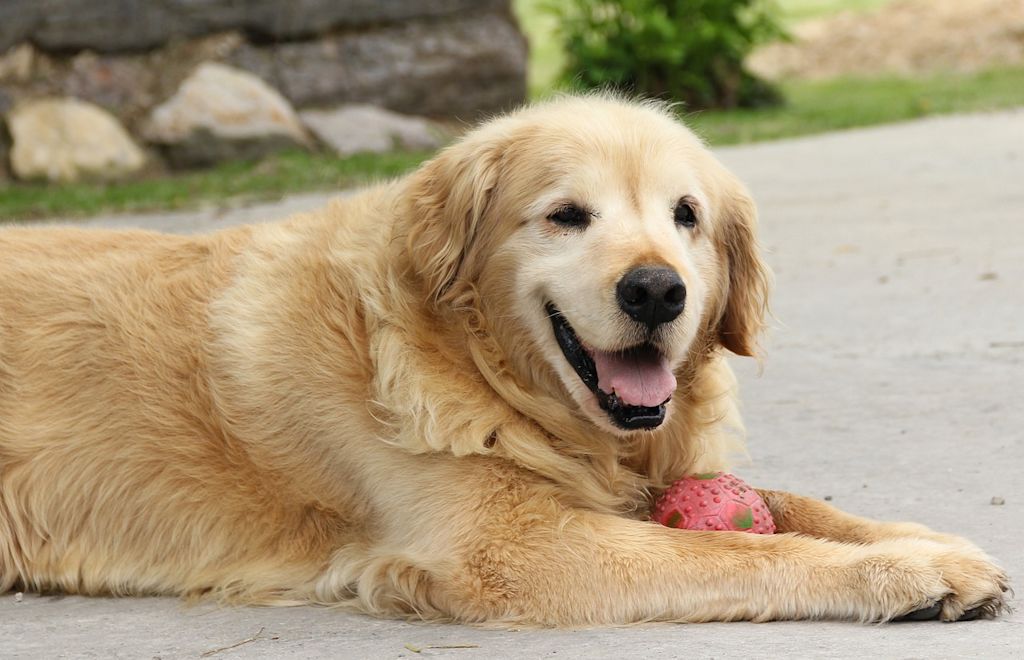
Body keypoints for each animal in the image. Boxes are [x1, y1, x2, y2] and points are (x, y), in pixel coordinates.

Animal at [0, 94, 1007, 622]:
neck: (482, 373)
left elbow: (797, 505)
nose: (657, 291)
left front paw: (927, 541)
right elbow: (742, 551)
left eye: (686, 215)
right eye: (566, 215)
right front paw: (910, 573)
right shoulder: (511, 552)